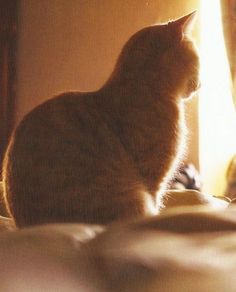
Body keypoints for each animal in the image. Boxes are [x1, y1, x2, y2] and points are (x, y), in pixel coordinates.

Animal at [2, 11, 200, 227]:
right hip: (132, 198)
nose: (200, 84)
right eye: (198, 61)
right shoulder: (154, 180)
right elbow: (155, 206)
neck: (144, 89)